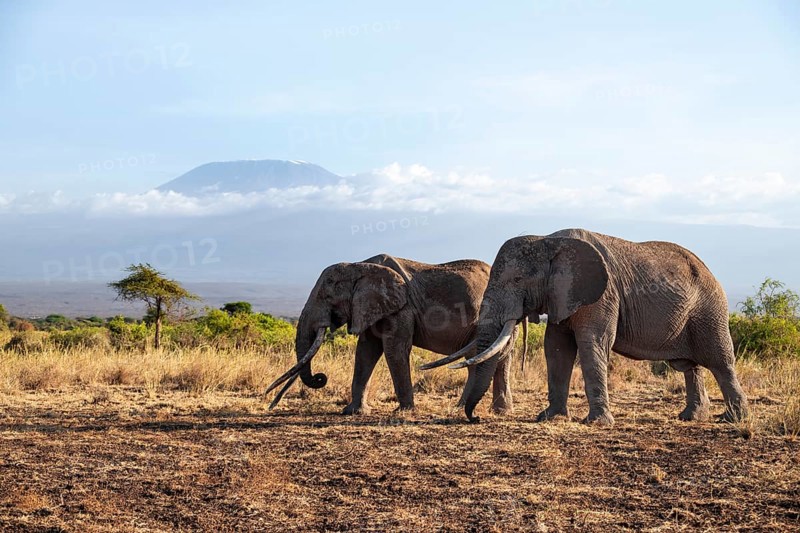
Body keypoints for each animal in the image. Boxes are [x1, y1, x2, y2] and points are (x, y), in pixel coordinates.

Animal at [264, 254, 525, 414]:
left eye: (327, 297)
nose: (321, 377)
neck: (359, 265)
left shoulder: (402, 308)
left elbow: (394, 350)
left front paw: (404, 411)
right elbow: (366, 352)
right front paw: (352, 412)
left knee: (494, 359)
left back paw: (486, 410)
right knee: (484, 360)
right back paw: (473, 409)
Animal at [448, 228, 748, 425]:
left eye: (518, 279)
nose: (475, 418)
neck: (548, 240)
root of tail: (711, 272)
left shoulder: (602, 295)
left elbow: (593, 343)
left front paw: (597, 423)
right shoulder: (561, 294)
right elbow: (556, 348)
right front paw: (549, 418)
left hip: (709, 310)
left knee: (720, 361)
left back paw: (732, 420)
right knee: (689, 366)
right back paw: (690, 418)